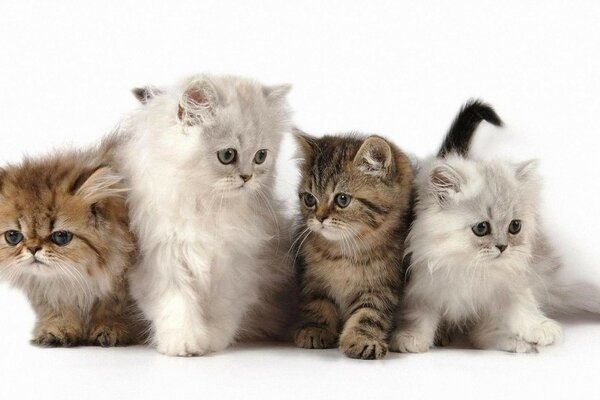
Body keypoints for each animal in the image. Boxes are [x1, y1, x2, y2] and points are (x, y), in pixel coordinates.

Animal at [0, 135, 141, 346]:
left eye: (61, 237)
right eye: (13, 236)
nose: (33, 249)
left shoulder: (123, 287)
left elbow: (115, 308)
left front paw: (111, 329)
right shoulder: (50, 291)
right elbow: (59, 310)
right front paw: (58, 330)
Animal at [118, 74, 296, 356]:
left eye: (261, 156)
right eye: (227, 155)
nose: (247, 177)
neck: (207, 206)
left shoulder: (237, 264)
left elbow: (221, 308)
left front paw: (212, 339)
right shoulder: (162, 258)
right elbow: (177, 304)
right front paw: (184, 343)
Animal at [392, 155, 600, 352]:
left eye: (515, 226)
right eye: (481, 228)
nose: (502, 247)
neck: (468, 267)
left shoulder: (509, 284)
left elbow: (523, 307)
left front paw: (540, 328)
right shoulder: (423, 291)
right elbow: (418, 317)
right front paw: (410, 338)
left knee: (484, 336)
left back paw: (519, 343)